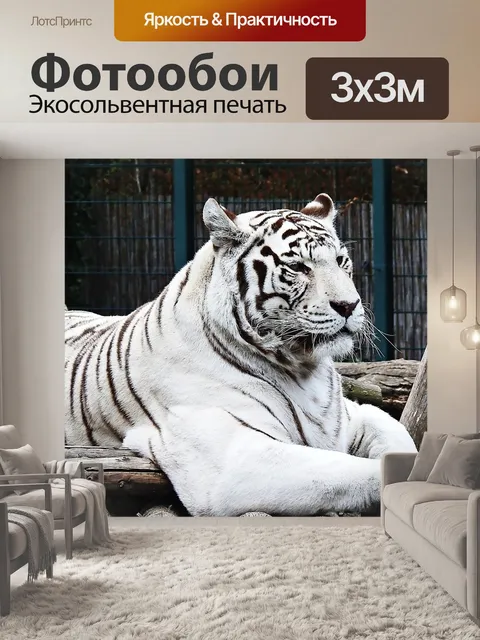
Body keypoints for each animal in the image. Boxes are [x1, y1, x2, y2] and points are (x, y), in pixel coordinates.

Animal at [65, 193, 417, 516]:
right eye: (298, 267)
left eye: (341, 260)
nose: (349, 305)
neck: (302, 368)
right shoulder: (233, 458)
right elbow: (360, 471)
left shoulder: (353, 414)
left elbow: (399, 440)